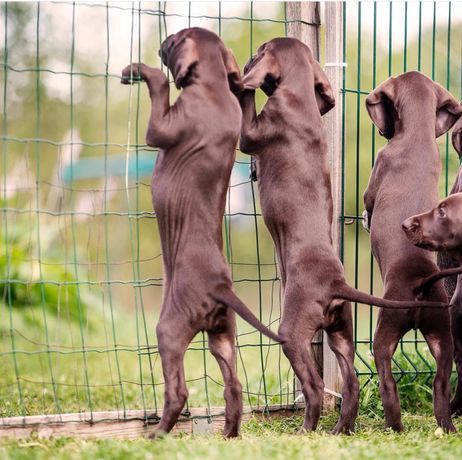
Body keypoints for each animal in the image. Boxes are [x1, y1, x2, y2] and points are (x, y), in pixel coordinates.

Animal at [362, 71, 460, 432]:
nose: (383, 131)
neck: (416, 137)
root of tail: (421, 281)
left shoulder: (378, 167)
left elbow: (368, 204)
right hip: (442, 334)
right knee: (441, 383)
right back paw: (446, 426)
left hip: (385, 332)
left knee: (387, 379)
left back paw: (394, 424)